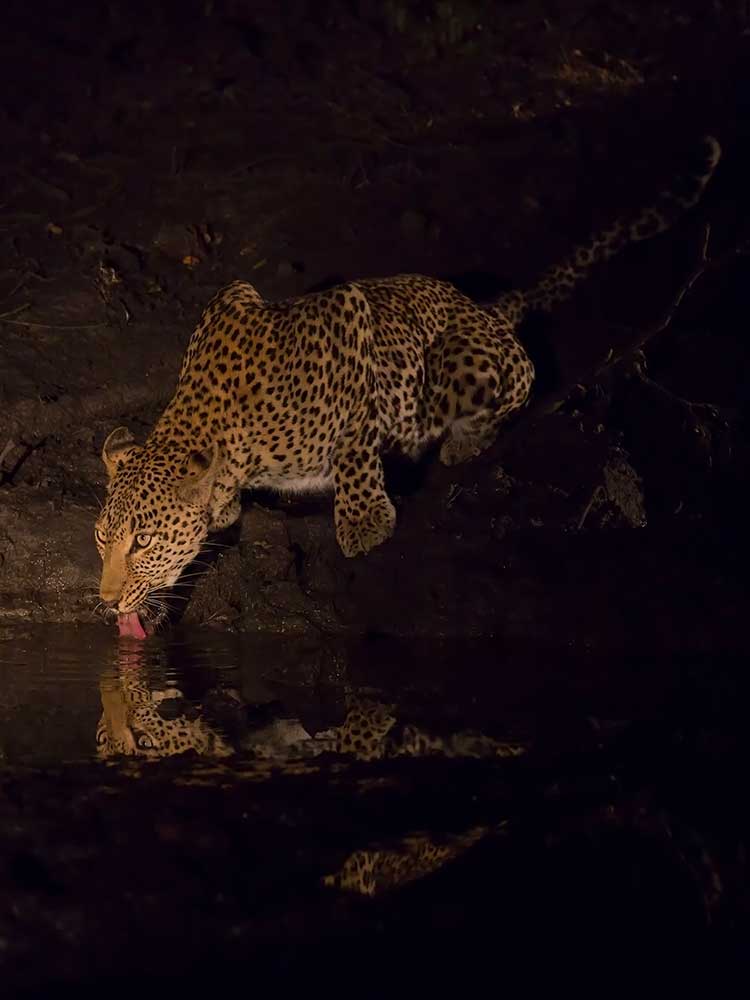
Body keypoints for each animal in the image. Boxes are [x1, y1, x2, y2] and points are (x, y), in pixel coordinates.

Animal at [95, 136, 720, 634]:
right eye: (102, 536)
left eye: (143, 542)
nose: (106, 602)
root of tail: (485, 308)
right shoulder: (237, 296)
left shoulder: (347, 320)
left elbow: (354, 442)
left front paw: (364, 520)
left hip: (465, 364)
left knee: (523, 377)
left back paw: (462, 441)